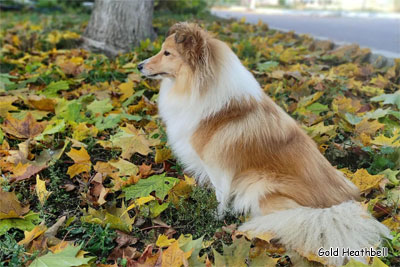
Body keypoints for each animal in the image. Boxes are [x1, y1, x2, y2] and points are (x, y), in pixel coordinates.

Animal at [138, 22, 390, 266]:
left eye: (167, 53)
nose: (139, 65)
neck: (202, 87)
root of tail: (333, 209)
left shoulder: (219, 166)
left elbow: (221, 195)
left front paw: (217, 217)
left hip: (262, 185)